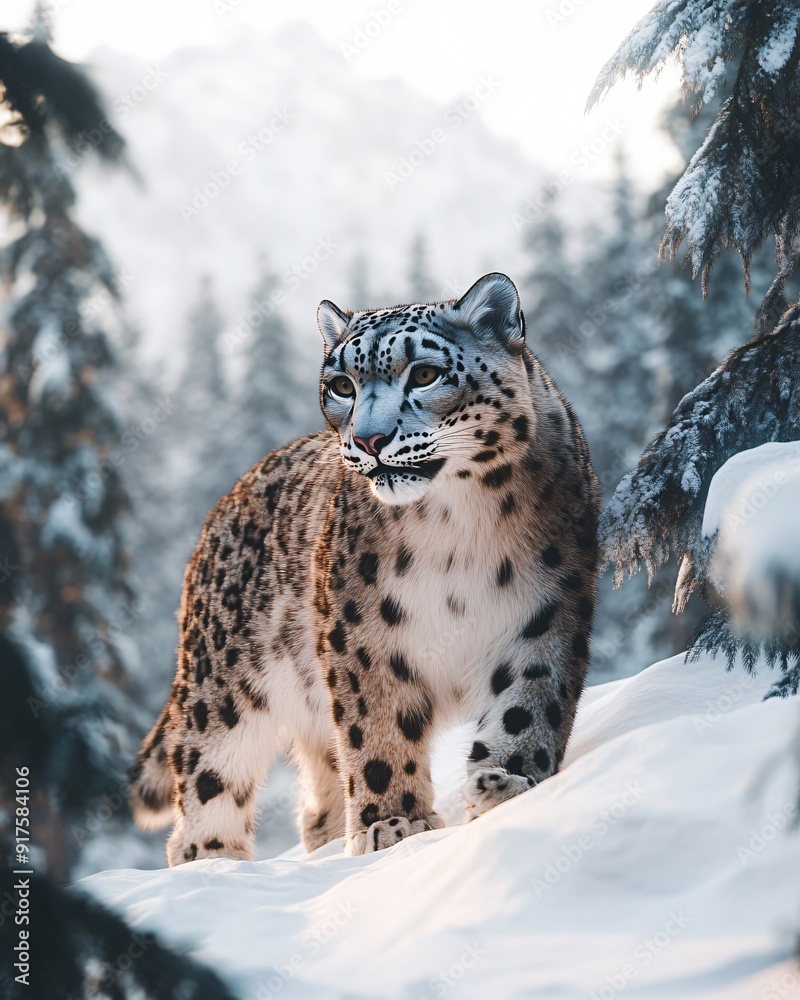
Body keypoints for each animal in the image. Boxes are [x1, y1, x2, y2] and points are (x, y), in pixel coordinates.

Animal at [129, 272, 600, 863]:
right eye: (341, 386)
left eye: (424, 373)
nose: (369, 440)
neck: (457, 523)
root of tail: (218, 512)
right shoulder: (364, 635)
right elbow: (378, 730)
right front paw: (395, 825)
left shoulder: (546, 610)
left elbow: (528, 703)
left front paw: (506, 784)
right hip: (221, 692)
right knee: (208, 784)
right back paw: (214, 864)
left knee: (317, 801)